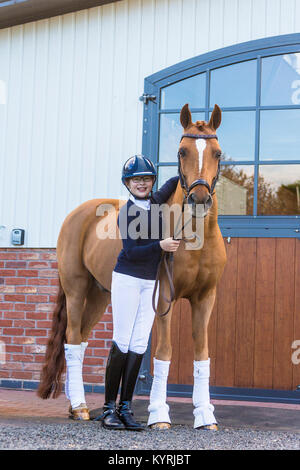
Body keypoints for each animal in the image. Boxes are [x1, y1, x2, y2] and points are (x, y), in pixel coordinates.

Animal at [37, 103, 225, 430]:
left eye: (217, 153)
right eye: (182, 151)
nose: (199, 199)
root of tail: (77, 213)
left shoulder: (205, 298)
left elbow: (202, 356)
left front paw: (206, 417)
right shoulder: (164, 297)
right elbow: (164, 352)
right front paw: (159, 416)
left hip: (100, 295)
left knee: (83, 339)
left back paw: (82, 407)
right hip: (76, 290)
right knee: (72, 340)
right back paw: (81, 407)